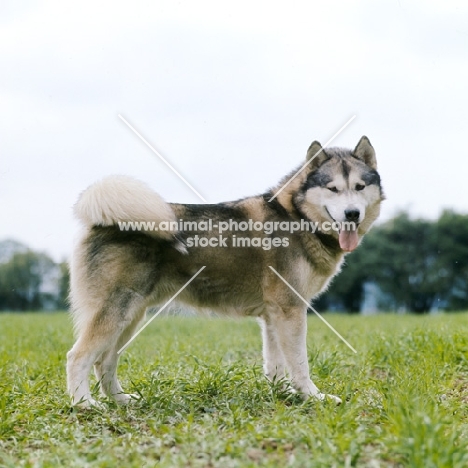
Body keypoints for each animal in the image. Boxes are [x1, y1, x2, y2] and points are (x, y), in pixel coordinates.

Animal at [67, 134, 386, 406]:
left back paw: (120, 400)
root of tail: (102, 219)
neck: (298, 217)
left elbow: (276, 365)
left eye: (360, 187)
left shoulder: (274, 315)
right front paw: (312, 396)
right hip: (116, 313)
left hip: (131, 317)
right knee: (78, 357)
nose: (352, 214)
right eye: (333, 188)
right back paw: (84, 404)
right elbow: (299, 363)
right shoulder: (290, 310)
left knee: (104, 362)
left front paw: (283, 394)